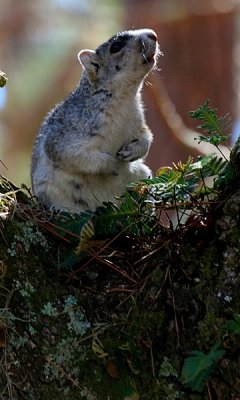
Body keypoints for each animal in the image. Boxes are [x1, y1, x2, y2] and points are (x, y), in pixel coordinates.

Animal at [31, 28, 160, 212]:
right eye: (116, 46)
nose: (153, 34)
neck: (124, 97)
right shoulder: (69, 132)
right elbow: (71, 154)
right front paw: (111, 165)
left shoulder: (137, 122)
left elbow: (146, 136)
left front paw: (133, 150)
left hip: (141, 176)